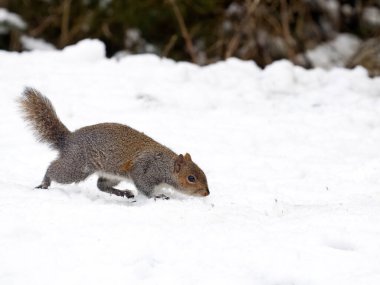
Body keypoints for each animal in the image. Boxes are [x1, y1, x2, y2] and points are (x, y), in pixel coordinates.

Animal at [18, 87, 211, 199]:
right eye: (191, 178)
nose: (207, 193)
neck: (165, 166)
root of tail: (68, 139)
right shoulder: (145, 170)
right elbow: (145, 188)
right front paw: (158, 196)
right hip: (77, 167)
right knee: (54, 170)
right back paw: (44, 183)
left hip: (112, 174)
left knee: (101, 186)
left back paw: (122, 193)